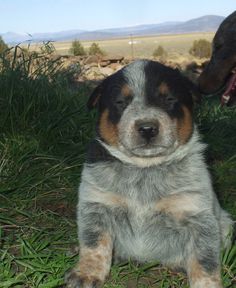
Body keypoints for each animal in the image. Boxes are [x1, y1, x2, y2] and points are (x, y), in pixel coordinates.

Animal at [65, 59, 232, 286]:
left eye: (169, 99)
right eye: (120, 102)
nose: (147, 128)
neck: (145, 169)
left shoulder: (197, 216)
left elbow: (204, 261)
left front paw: (207, 284)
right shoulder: (97, 205)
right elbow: (94, 245)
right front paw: (86, 273)